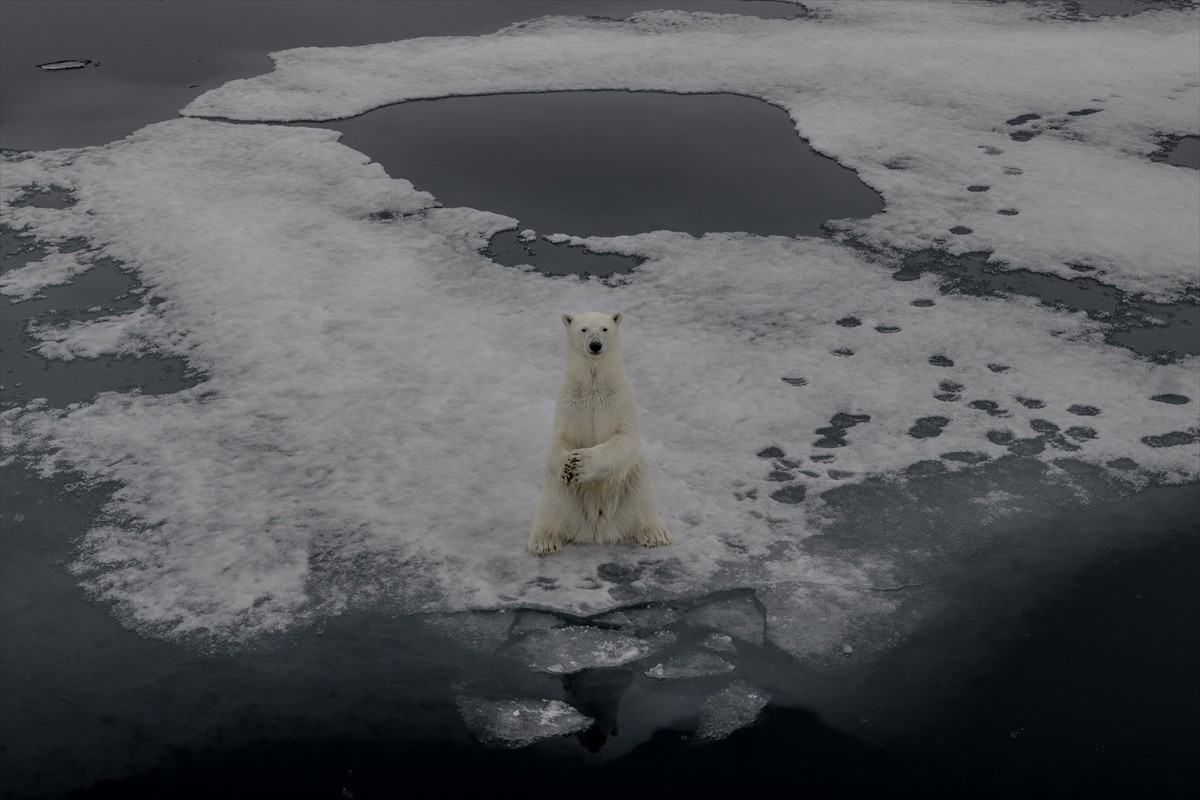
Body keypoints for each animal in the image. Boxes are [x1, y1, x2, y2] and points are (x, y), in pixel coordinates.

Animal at [528, 311, 676, 556]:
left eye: (605, 328)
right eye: (584, 329)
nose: (595, 345)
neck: (594, 384)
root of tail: (597, 529)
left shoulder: (621, 398)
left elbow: (625, 438)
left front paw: (581, 463)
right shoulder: (570, 400)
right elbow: (560, 440)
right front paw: (567, 465)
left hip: (629, 483)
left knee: (641, 487)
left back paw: (654, 533)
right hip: (566, 497)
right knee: (554, 498)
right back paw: (543, 540)